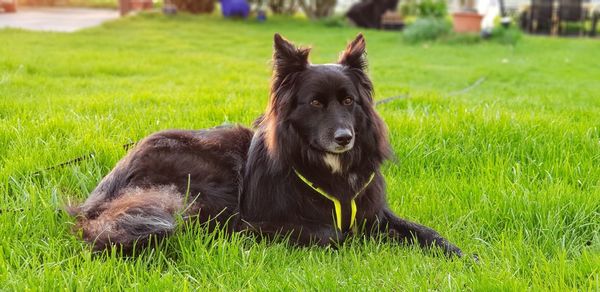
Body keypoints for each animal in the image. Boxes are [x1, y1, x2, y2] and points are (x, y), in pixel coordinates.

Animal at [68, 34, 462, 256]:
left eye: (349, 101)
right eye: (315, 103)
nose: (344, 138)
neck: (327, 169)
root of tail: (105, 189)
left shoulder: (373, 211)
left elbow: (425, 232)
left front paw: (462, 255)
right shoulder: (259, 223)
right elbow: (333, 234)